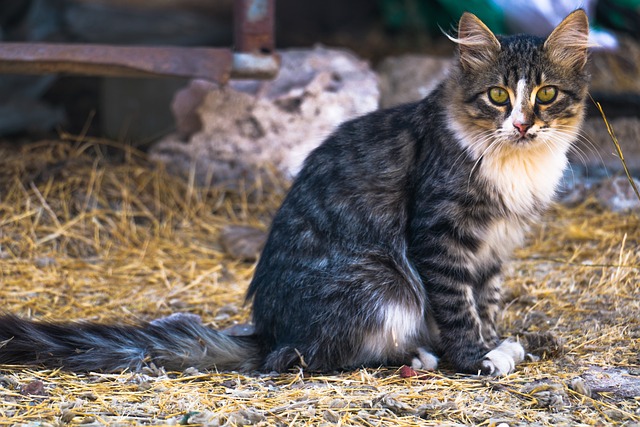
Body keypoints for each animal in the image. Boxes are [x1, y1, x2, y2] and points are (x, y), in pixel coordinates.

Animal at [0, 9, 592, 378]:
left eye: (545, 95)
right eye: (497, 96)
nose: (522, 124)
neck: (517, 163)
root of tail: (266, 330)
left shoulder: (495, 246)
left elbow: (485, 302)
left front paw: (499, 341)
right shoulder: (440, 236)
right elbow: (457, 306)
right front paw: (476, 358)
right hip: (385, 286)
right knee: (304, 357)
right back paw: (420, 356)